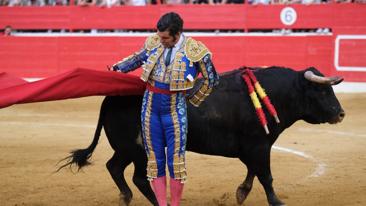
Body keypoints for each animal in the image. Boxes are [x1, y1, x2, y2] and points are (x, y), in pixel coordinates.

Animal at [58, 67, 344, 205]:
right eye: (322, 91)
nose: (341, 114)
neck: (276, 93)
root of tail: (110, 98)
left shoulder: (255, 147)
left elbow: (254, 172)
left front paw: (241, 193)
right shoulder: (258, 146)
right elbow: (266, 175)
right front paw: (276, 202)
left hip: (128, 148)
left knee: (115, 167)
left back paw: (126, 198)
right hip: (139, 150)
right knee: (136, 176)